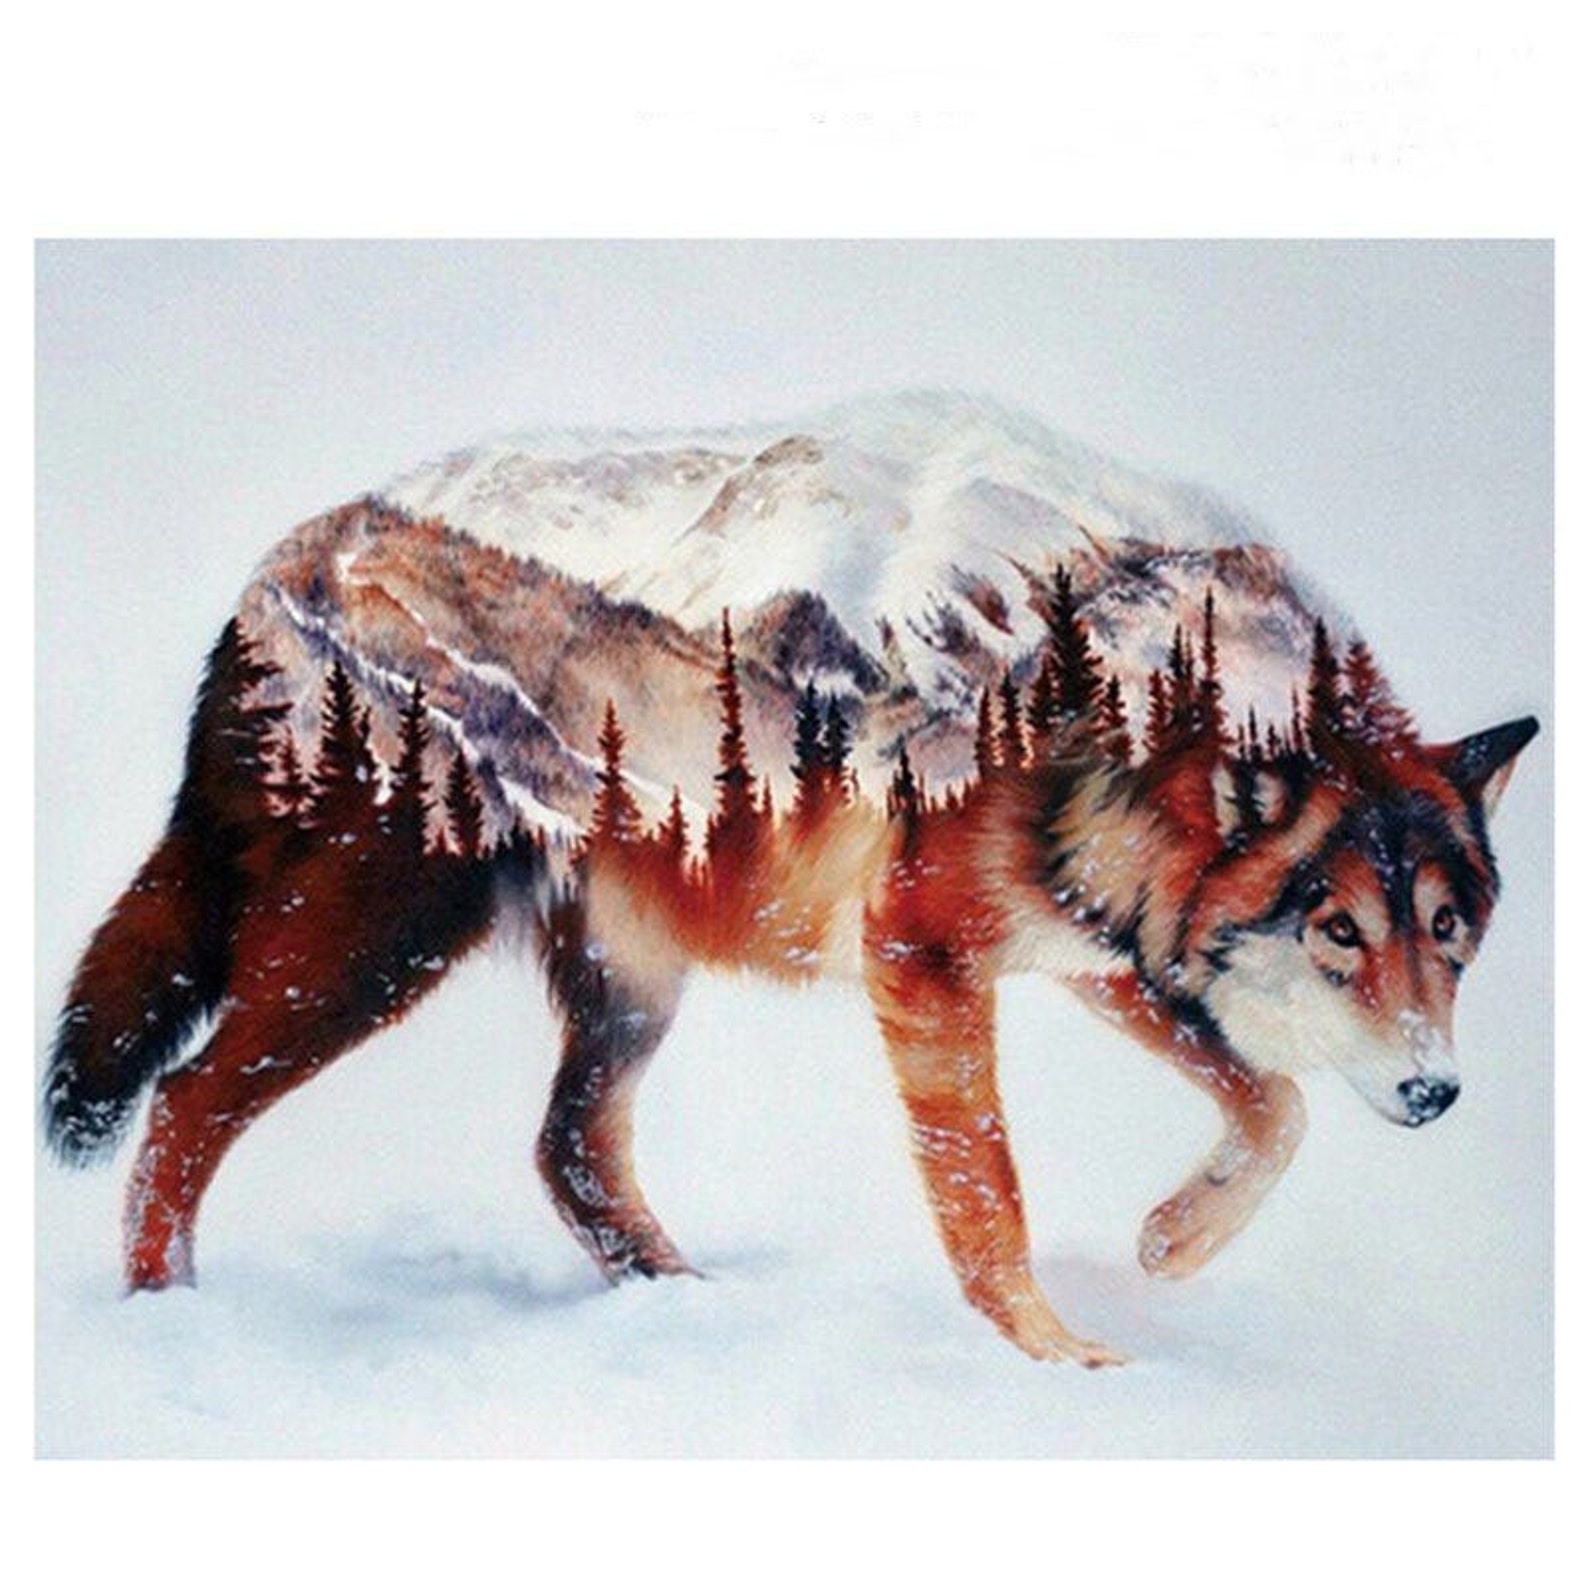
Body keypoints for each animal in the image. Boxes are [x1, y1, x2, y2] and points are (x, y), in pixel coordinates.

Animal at [43, 402, 1538, 1367]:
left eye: (1447, 934)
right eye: (1336, 929)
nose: (1435, 1092)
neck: (1120, 693)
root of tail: (274, 569)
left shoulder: (1104, 951)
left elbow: (1275, 1103)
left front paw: (1173, 1245)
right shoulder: (923, 958)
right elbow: (989, 1190)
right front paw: (1060, 1361)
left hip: (622, 988)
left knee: (566, 1150)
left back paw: (688, 1310)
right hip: (375, 949)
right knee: (182, 1103)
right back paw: (170, 1324)